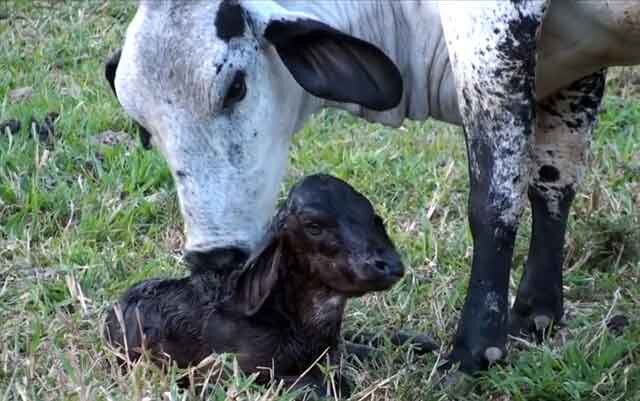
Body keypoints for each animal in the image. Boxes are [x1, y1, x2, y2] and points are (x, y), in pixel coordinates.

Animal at [105, 1, 640, 374]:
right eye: (144, 129)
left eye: (235, 87)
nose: (211, 257)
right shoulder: (573, 66)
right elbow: (552, 182)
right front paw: (536, 315)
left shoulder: (493, 23)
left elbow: (494, 200)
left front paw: (474, 353)